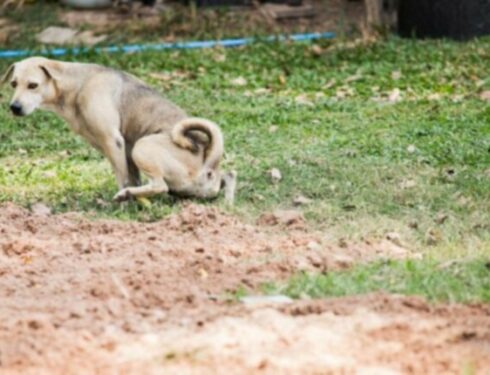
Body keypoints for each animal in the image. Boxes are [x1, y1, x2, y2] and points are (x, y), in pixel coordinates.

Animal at [1, 55, 235, 203]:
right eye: (13, 84)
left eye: (33, 85)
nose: (14, 107)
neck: (77, 84)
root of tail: (208, 166)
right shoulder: (123, 147)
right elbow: (132, 175)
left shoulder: (113, 141)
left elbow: (122, 178)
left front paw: (124, 202)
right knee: (229, 175)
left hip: (143, 146)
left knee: (160, 186)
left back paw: (127, 195)